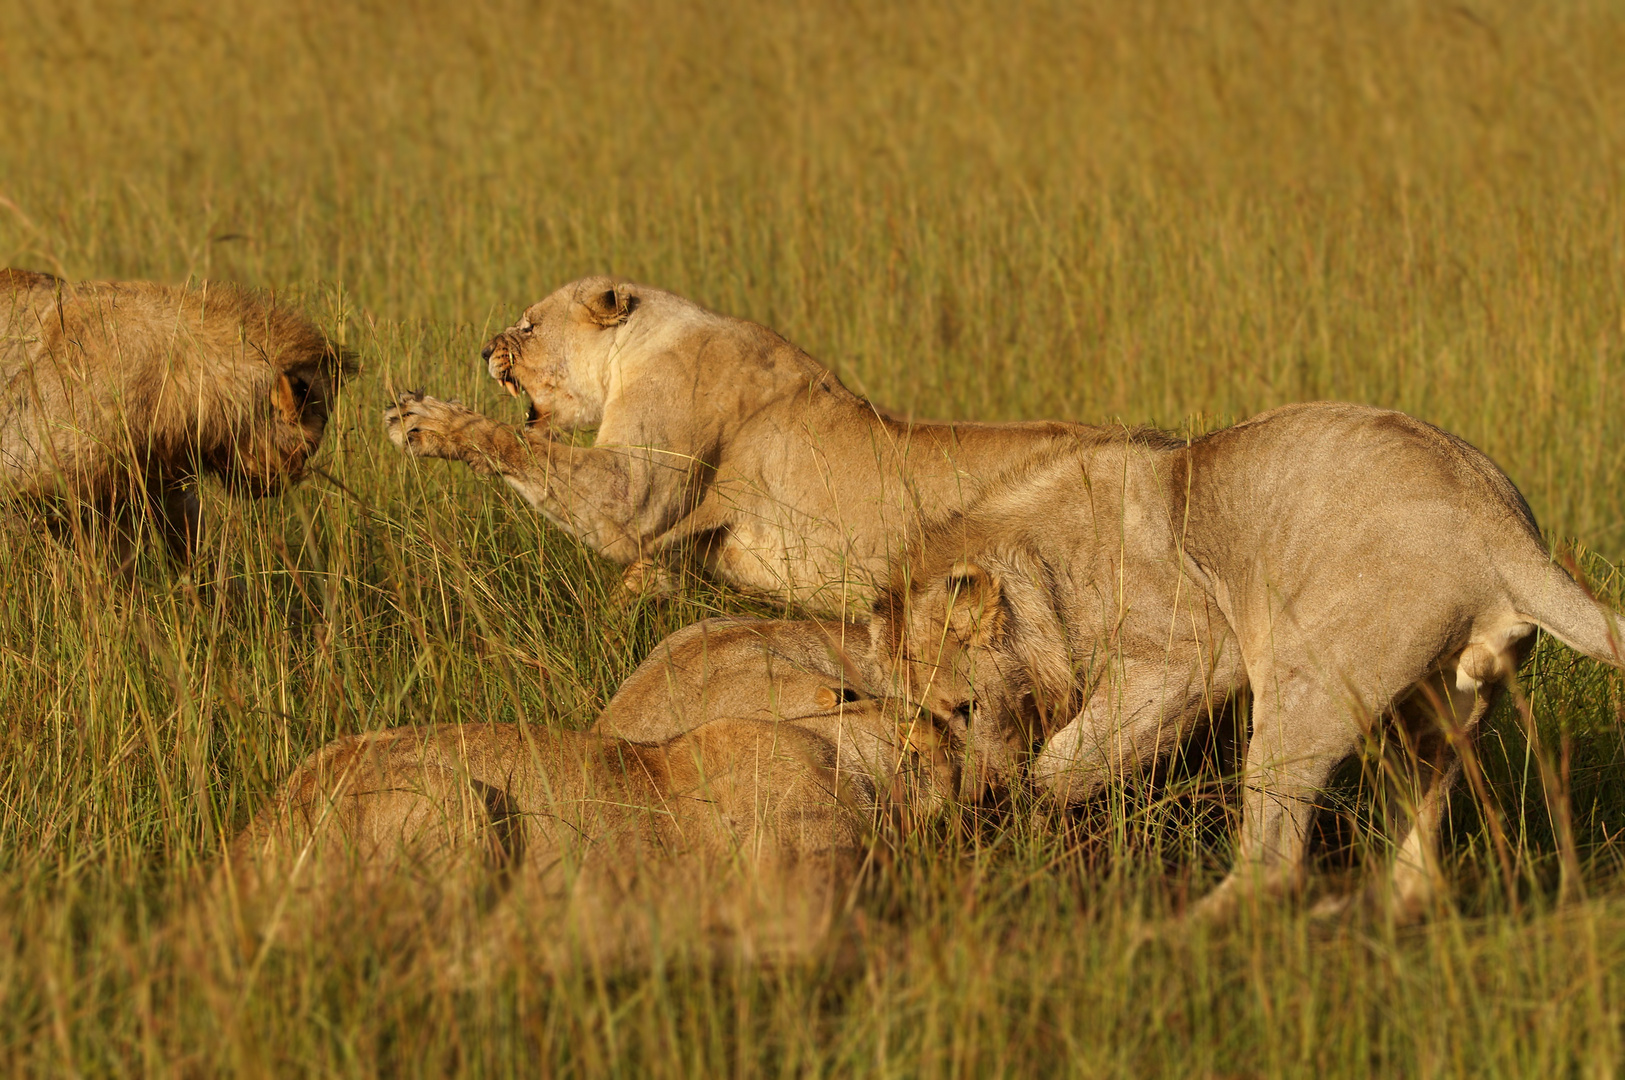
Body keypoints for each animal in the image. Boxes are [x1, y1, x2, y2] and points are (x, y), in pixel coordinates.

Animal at [386, 277, 1085, 610]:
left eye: (528, 326)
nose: (483, 351)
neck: (634, 352)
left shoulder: (636, 495)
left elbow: (528, 451)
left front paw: (425, 421)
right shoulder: (680, 548)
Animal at [877, 399, 1625, 922]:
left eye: (963, 708)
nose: (972, 800)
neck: (1039, 564)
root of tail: (1504, 534)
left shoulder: (1194, 656)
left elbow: (1064, 761)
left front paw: (1040, 812)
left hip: (1300, 685)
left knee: (1273, 865)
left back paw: (1174, 932)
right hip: (1437, 717)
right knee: (1417, 869)